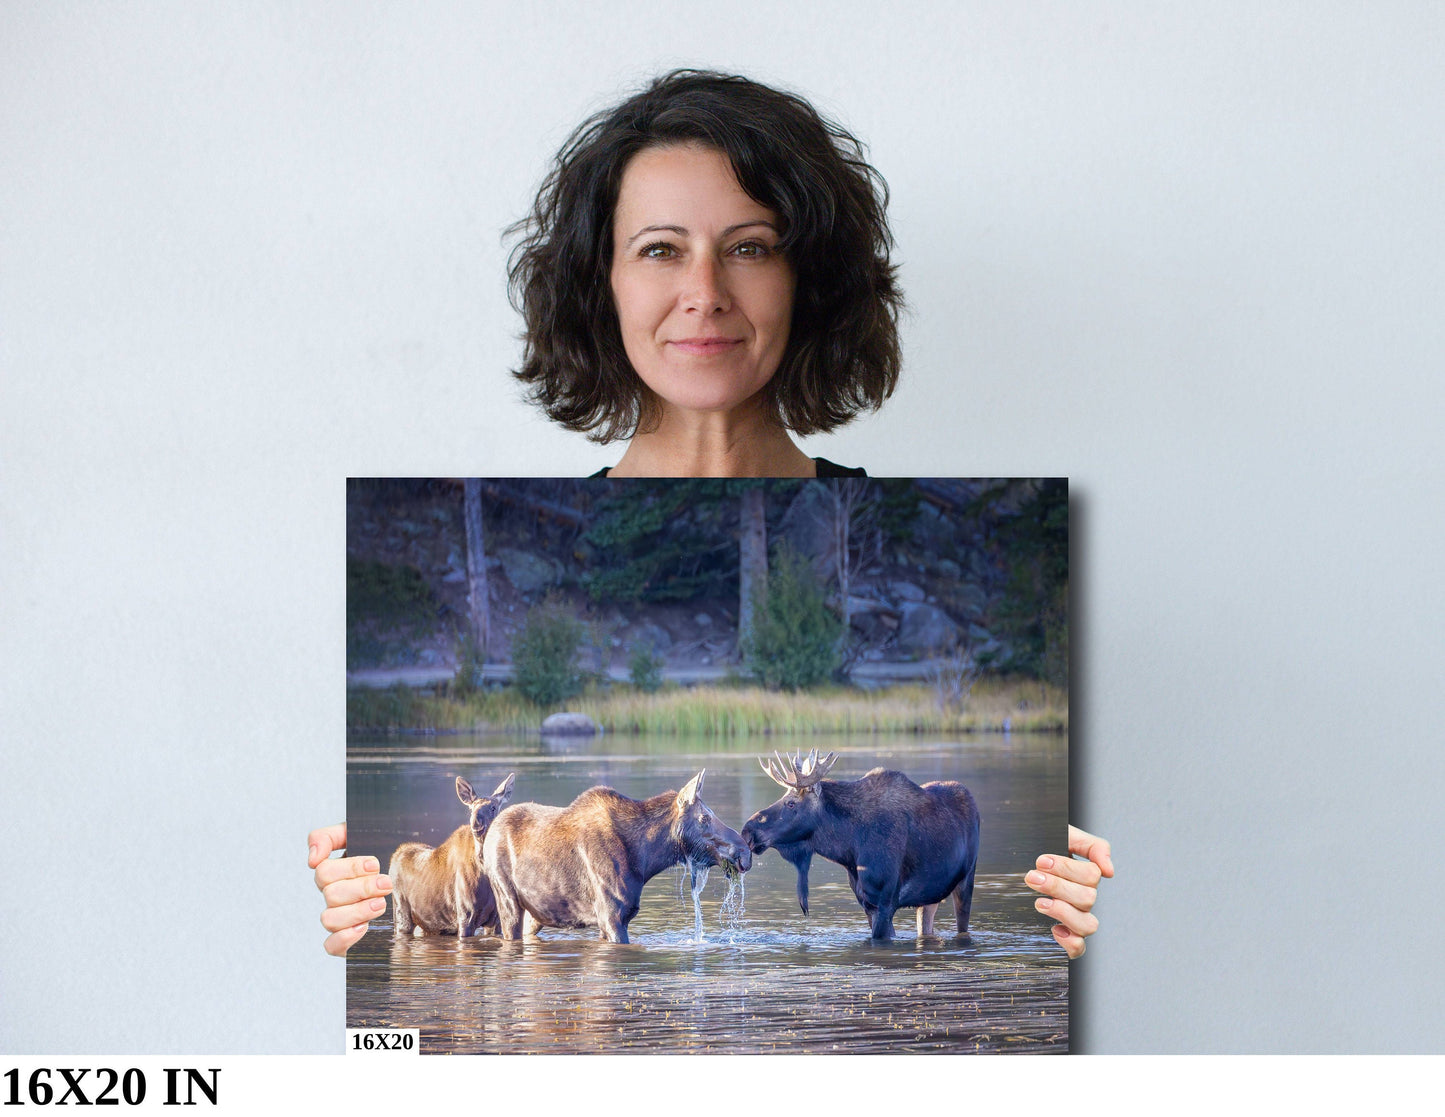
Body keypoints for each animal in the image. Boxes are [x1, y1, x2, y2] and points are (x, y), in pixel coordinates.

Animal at [387, 768, 517, 936]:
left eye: (493, 807)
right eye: (471, 809)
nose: (476, 824)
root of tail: (395, 856)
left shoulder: (495, 920)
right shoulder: (465, 916)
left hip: (427, 925)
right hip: (401, 914)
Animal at [485, 768, 757, 942]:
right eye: (704, 818)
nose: (744, 853)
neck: (647, 859)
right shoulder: (611, 915)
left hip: (537, 913)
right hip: (506, 897)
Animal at [745, 751, 982, 942]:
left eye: (791, 803)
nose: (748, 830)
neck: (849, 846)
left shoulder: (886, 901)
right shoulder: (867, 904)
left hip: (966, 880)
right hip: (930, 895)